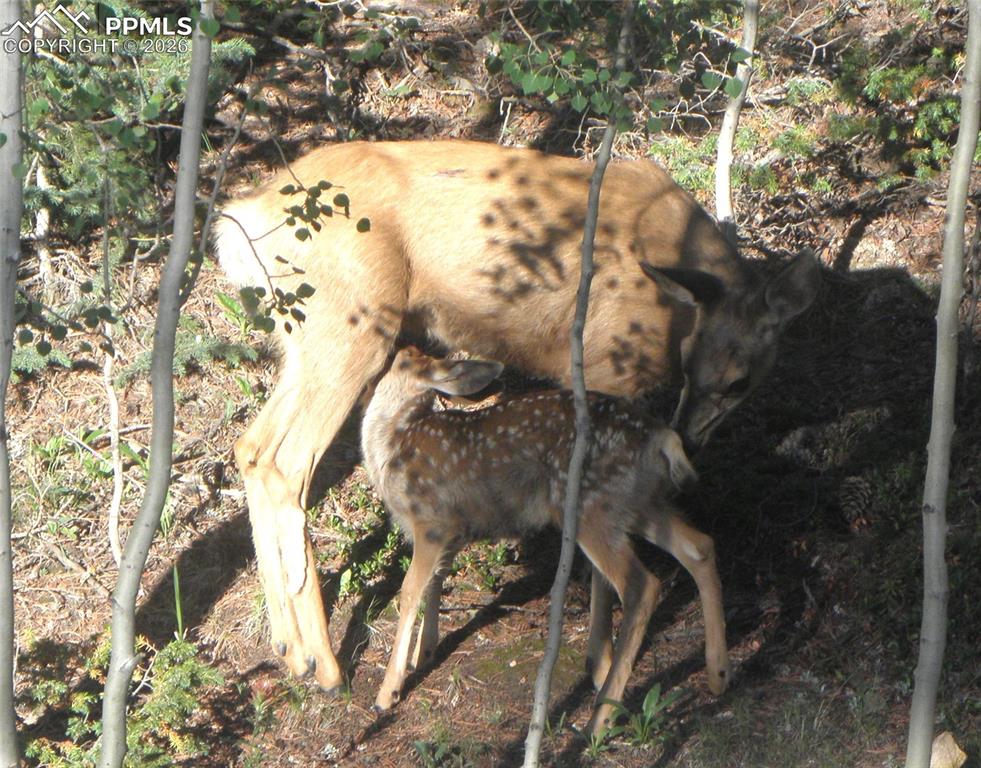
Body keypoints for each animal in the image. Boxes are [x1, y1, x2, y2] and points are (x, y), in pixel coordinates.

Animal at [214, 139, 820, 693]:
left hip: (303, 341)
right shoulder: (600, 364)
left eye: (735, 379)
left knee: (251, 448)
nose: (691, 442)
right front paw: (598, 661)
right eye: (709, 371)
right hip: (350, 324)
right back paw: (328, 666)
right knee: (288, 463)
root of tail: (242, 217)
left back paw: (290, 650)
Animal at [360, 346, 730, 736]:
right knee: (699, 547)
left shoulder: (430, 523)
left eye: (401, 360)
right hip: (637, 505)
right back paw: (718, 675)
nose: (390, 357)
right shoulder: (452, 529)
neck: (393, 444)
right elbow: (436, 581)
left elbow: (409, 590)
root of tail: (662, 438)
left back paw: (599, 718)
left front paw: (388, 692)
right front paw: (425, 653)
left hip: (590, 506)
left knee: (642, 585)